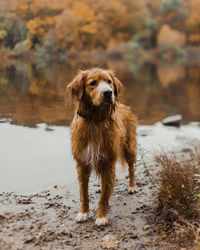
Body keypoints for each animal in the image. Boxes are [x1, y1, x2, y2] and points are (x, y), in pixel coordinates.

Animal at [66, 68, 137, 227]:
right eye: (93, 83)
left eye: (109, 82)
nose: (108, 93)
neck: (95, 120)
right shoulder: (82, 163)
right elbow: (84, 194)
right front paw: (83, 213)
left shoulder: (108, 161)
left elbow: (104, 196)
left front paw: (101, 217)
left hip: (129, 148)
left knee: (131, 168)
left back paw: (132, 186)